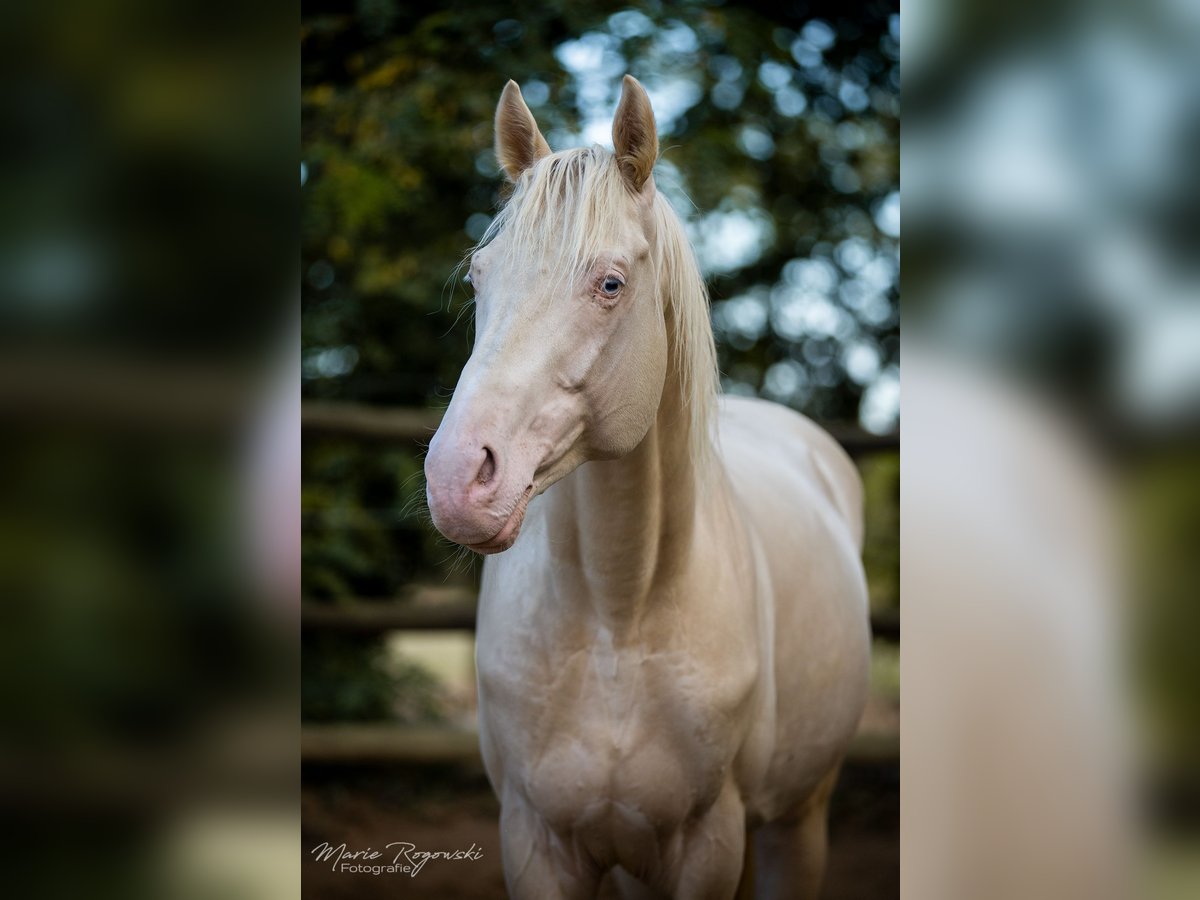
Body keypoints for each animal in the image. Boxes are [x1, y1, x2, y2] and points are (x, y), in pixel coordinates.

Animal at [424, 75, 870, 900]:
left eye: (610, 283)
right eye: (478, 275)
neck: (617, 618)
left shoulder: (709, 844)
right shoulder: (536, 841)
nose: (456, 478)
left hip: (800, 817)